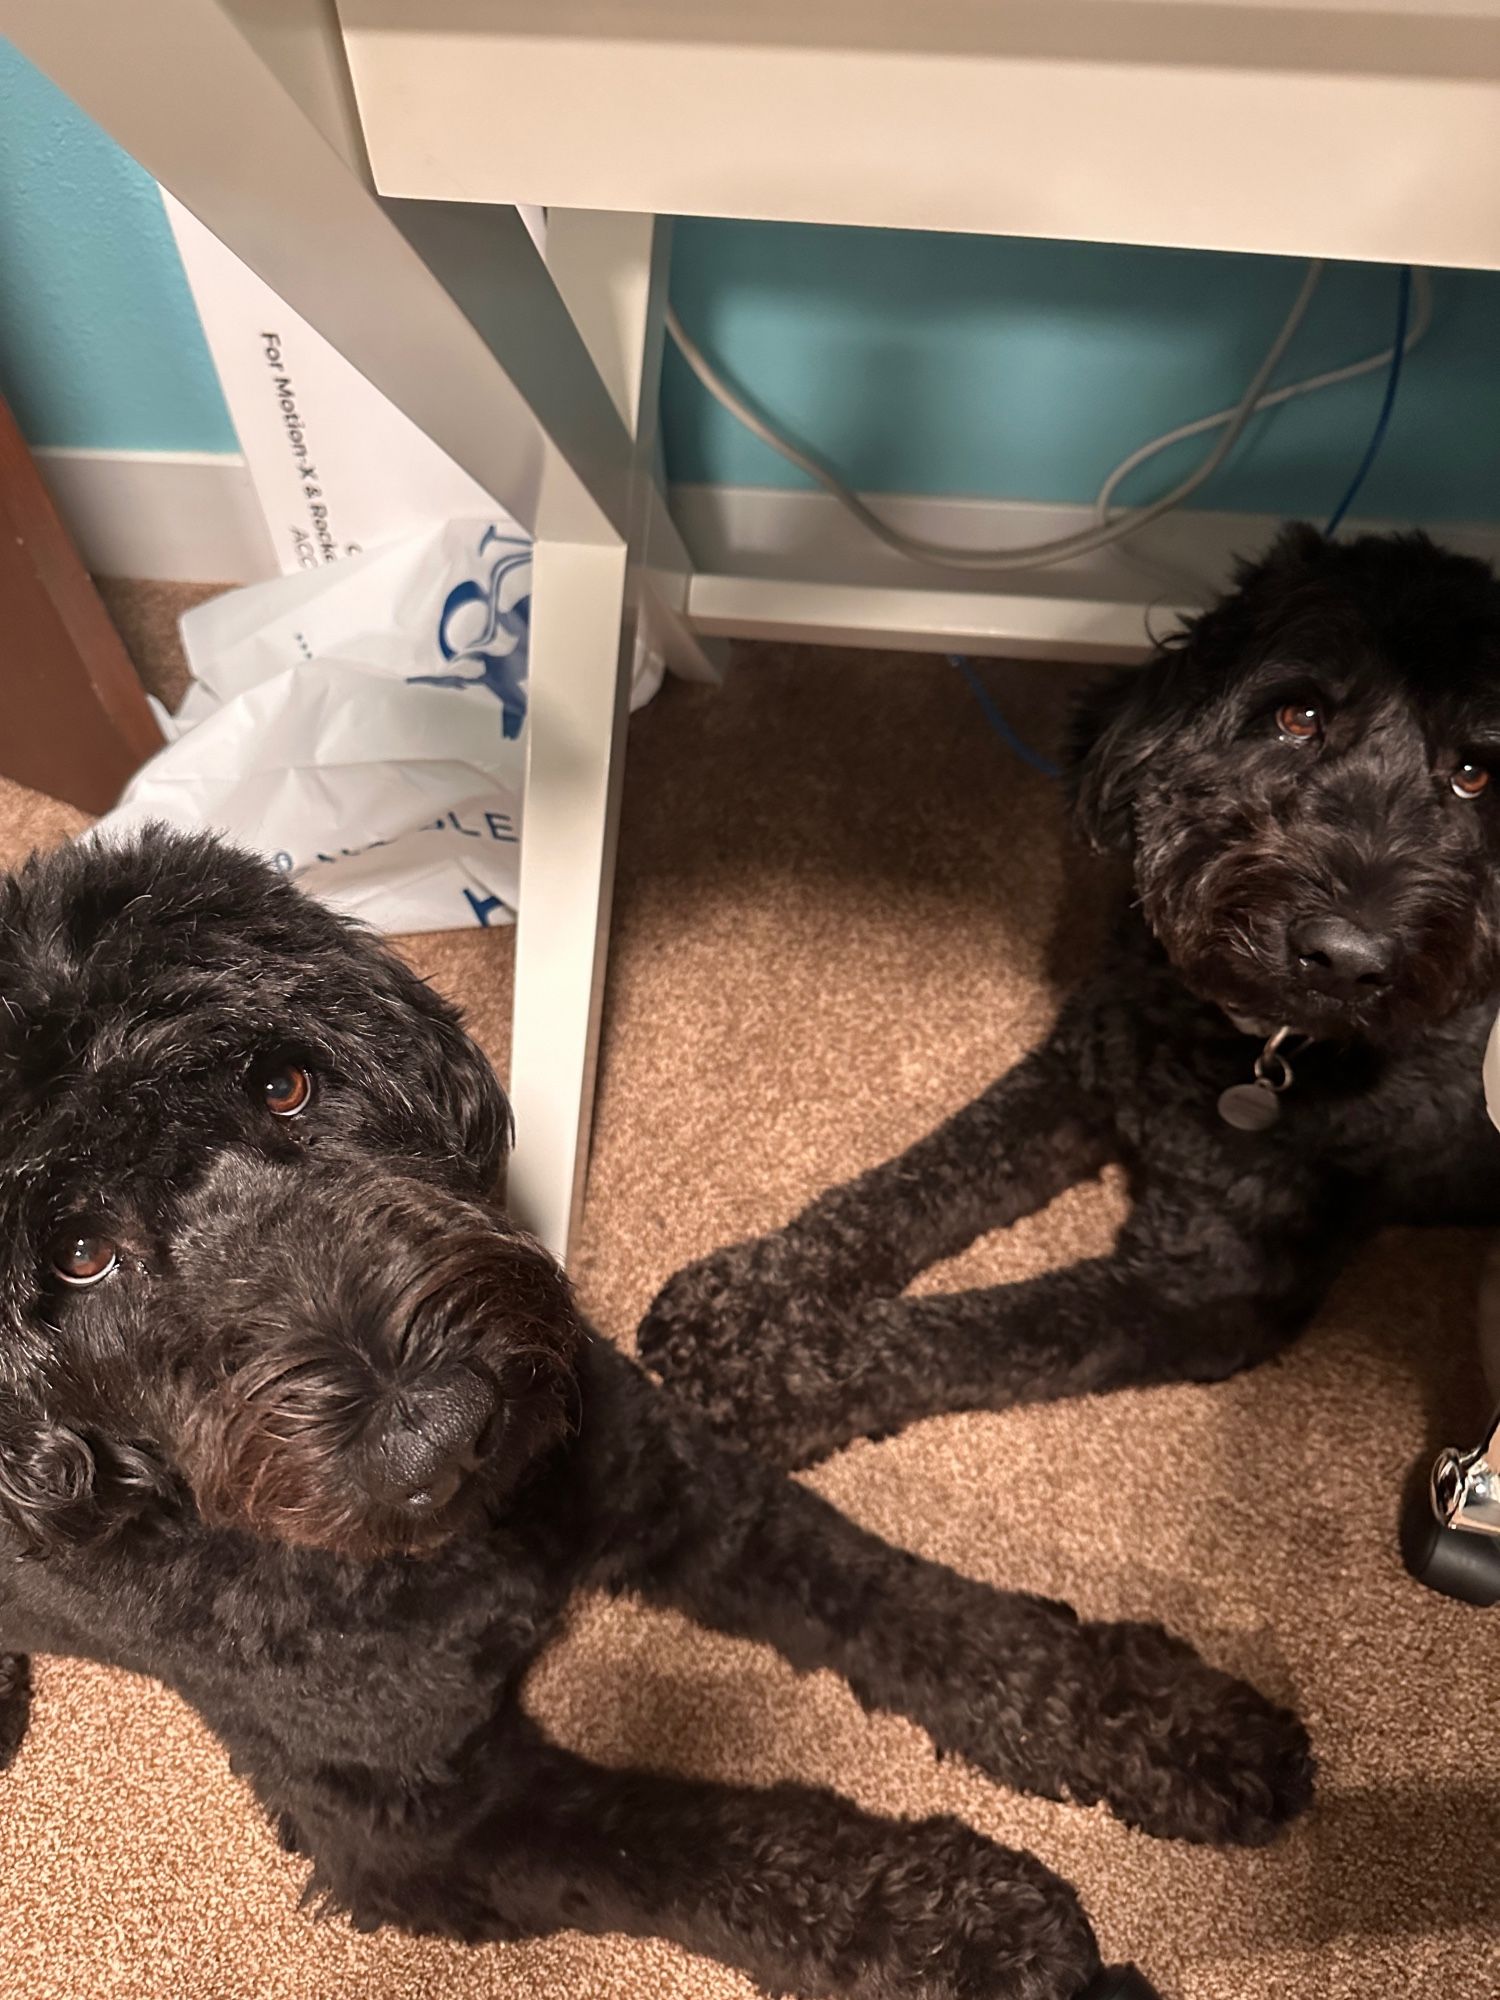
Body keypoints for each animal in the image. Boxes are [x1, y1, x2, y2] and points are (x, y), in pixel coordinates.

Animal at [0, 824, 1312, 2000]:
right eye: (78, 1254)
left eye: (283, 1081)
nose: (444, 1426)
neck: (471, 1545)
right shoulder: (417, 1819)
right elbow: (690, 1839)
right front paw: (957, 1918)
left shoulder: (677, 1483)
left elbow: (911, 1602)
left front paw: (1152, 1719)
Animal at [644, 528, 1500, 1472]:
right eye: (1297, 717)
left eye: (1474, 773)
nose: (1347, 958)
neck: (1253, 1047)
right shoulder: (1083, 1070)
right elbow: (914, 1181)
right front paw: (745, 1295)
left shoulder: (1209, 1281)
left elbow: (993, 1328)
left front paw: (777, 1379)